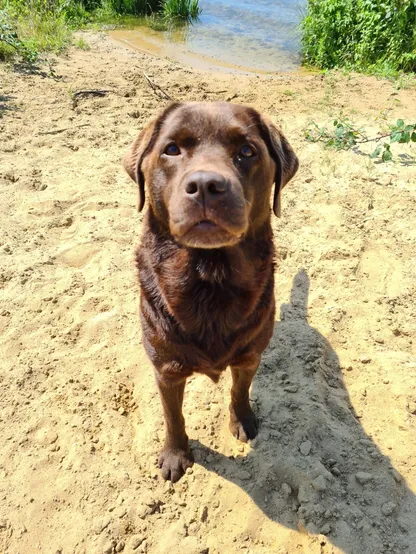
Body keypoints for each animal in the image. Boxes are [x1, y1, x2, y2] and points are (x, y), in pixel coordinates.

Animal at [124, 101, 300, 480]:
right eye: (171, 149)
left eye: (247, 151)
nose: (206, 185)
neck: (209, 279)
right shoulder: (166, 369)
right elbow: (172, 416)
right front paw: (176, 454)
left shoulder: (250, 354)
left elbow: (239, 390)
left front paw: (243, 421)